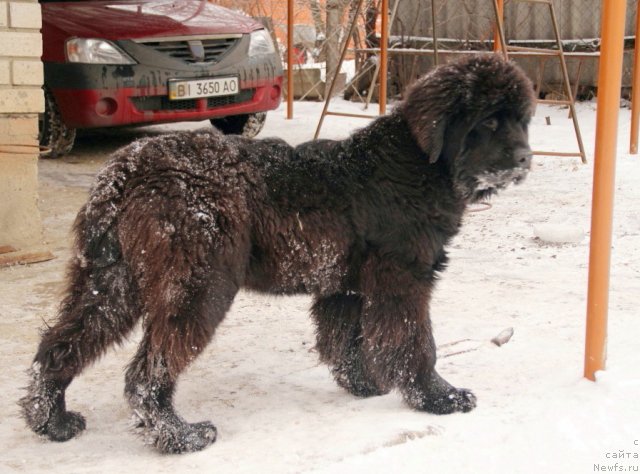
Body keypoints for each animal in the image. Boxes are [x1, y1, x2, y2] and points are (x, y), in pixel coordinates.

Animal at [18, 53, 536, 454]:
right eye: (490, 121)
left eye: (523, 121)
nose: (527, 159)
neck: (419, 164)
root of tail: (128, 169)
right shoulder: (403, 278)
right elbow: (415, 343)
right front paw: (439, 397)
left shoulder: (344, 285)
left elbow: (345, 344)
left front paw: (365, 387)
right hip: (198, 285)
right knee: (146, 374)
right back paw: (180, 437)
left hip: (110, 280)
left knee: (59, 346)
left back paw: (52, 422)